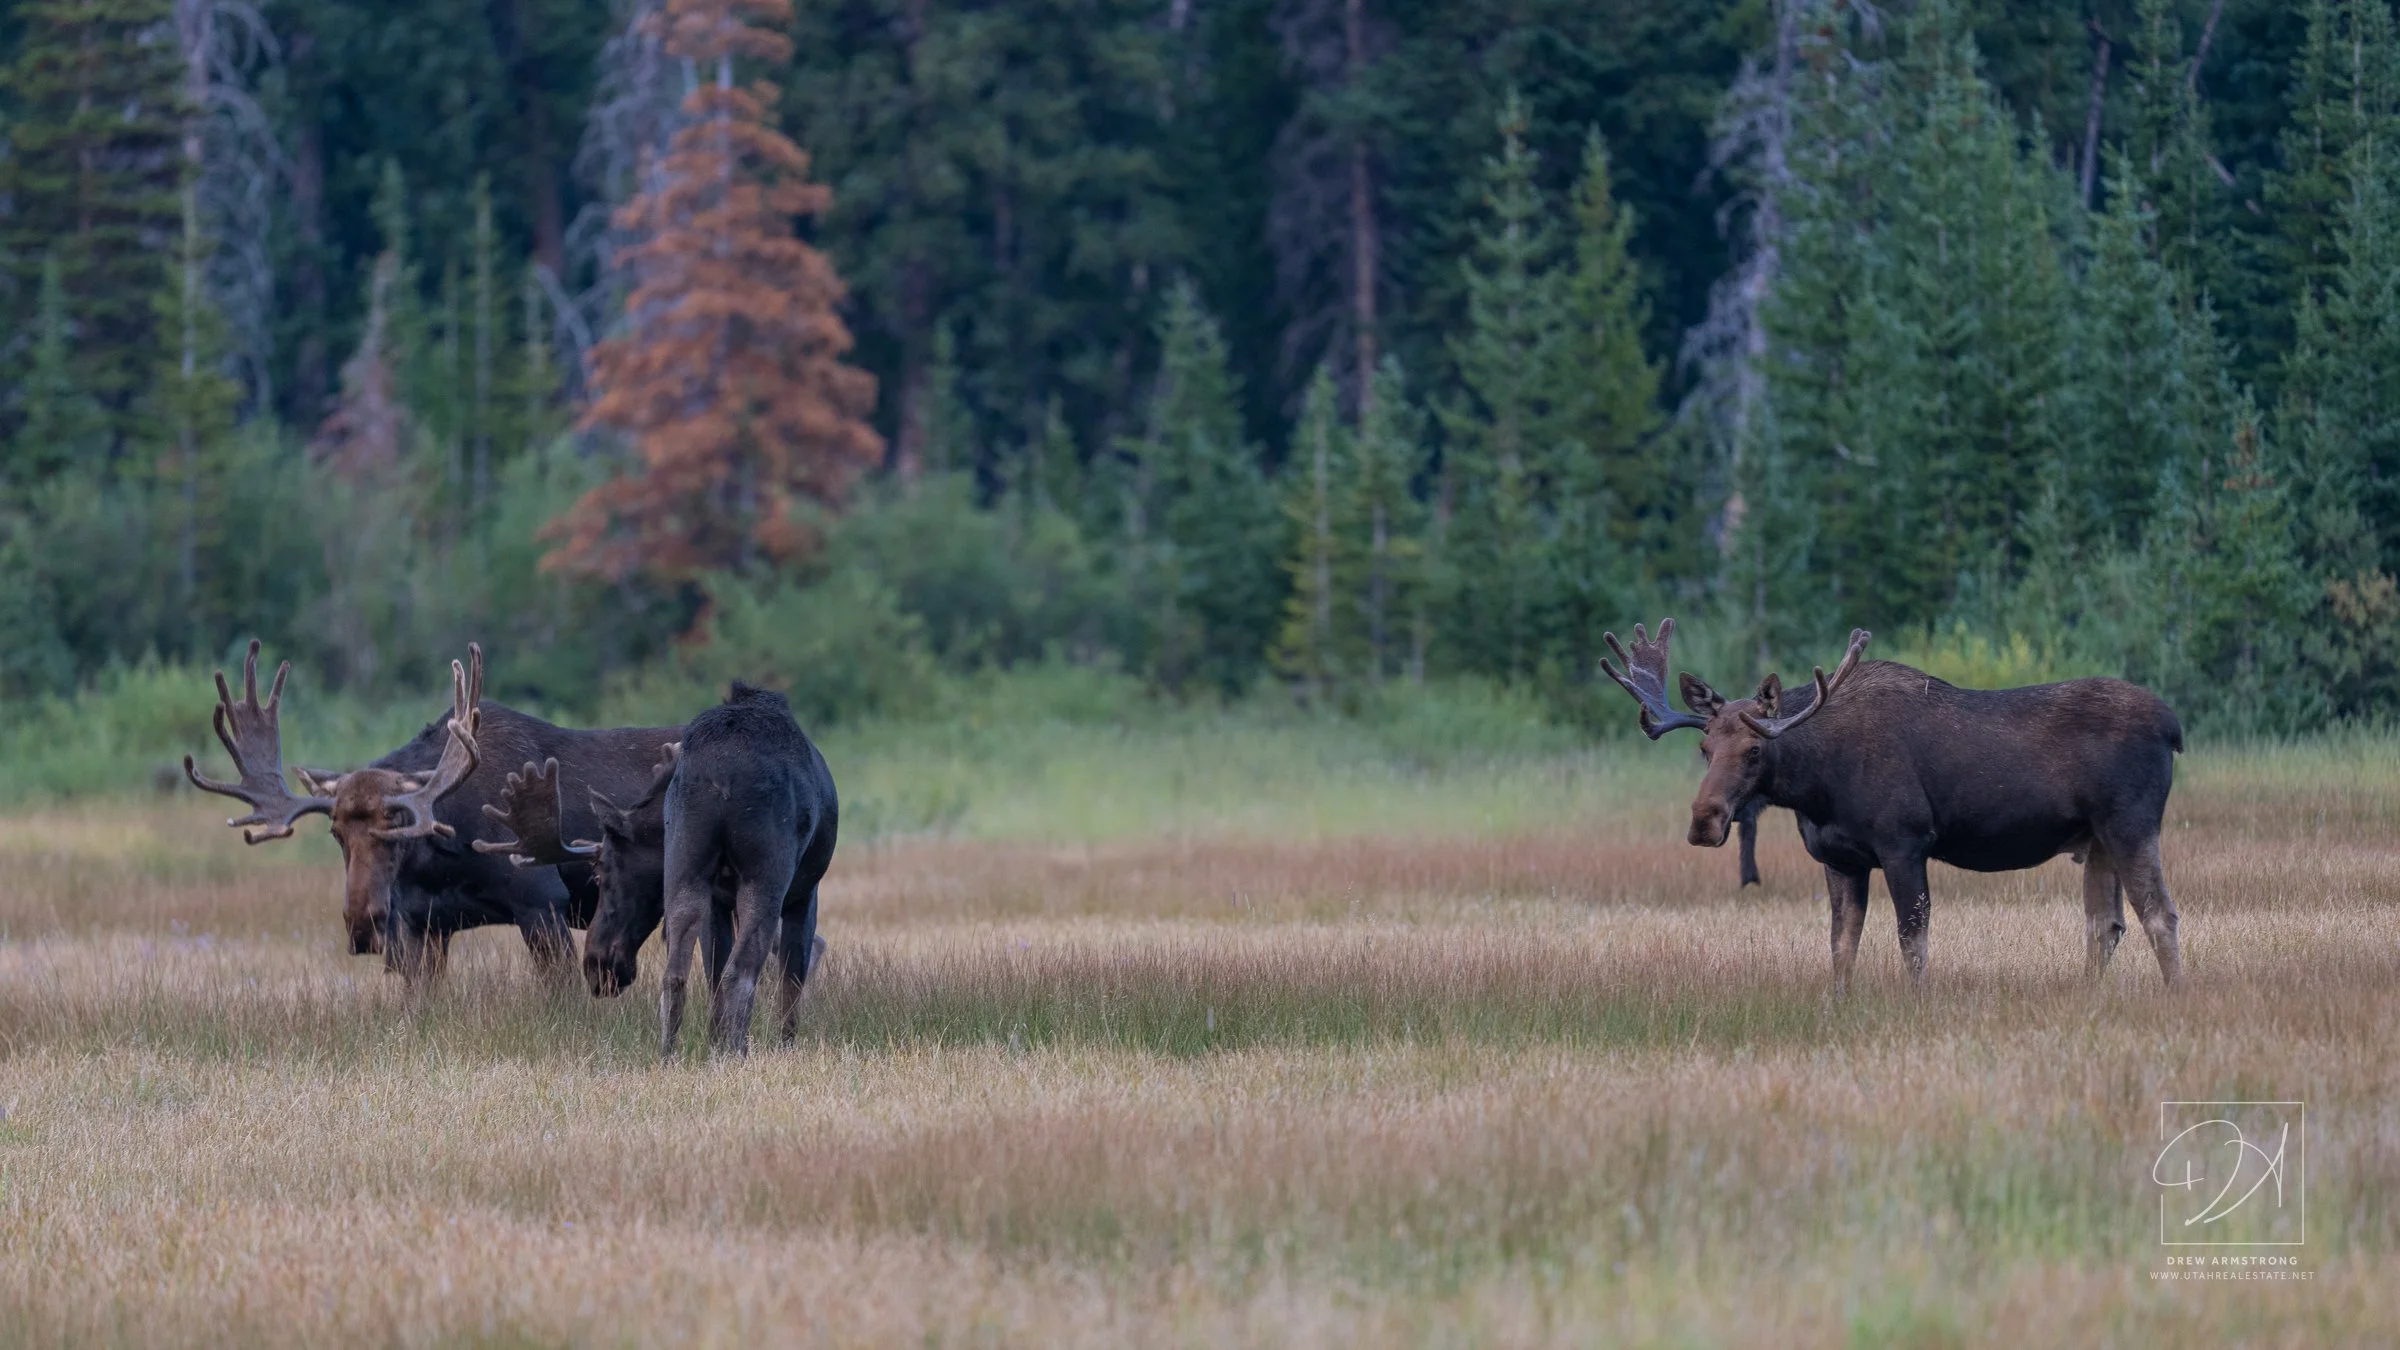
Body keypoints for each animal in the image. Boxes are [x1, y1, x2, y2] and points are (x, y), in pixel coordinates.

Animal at [183, 641, 684, 981]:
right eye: (335, 832)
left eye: (398, 823)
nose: (363, 924)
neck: (444, 860)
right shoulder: (424, 925)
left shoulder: (542, 901)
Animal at [1600, 619, 2185, 991]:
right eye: (1703, 749)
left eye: (1754, 750)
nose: (1705, 821)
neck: (1815, 788)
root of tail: (2173, 727)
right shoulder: (1840, 857)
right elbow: (1841, 946)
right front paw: (1838, 1005)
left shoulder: (1905, 842)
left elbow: (1912, 941)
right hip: (2096, 836)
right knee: (2105, 925)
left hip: (2130, 822)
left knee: (2160, 914)